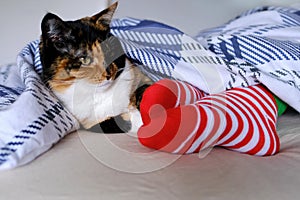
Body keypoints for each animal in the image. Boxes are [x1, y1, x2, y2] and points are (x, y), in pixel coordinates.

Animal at [39, 2, 152, 133]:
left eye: (109, 52)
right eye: (84, 59)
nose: (108, 74)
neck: (99, 95)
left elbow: (146, 89)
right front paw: (127, 122)